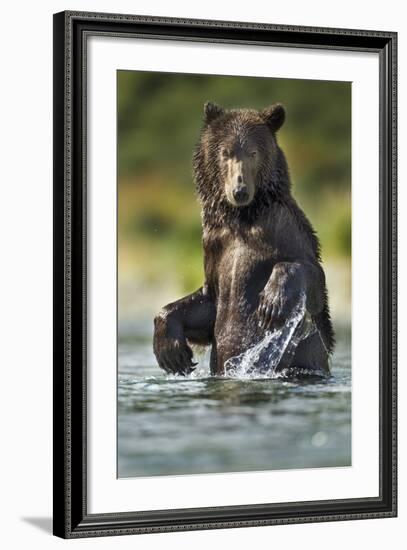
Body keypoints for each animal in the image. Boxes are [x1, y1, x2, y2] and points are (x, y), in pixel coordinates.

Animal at [153, 101, 334, 378]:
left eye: (253, 152)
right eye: (225, 152)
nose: (240, 190)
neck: (242, 218)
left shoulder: (283, 227)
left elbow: (312, 278)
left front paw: (271, 303)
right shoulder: (214, 245)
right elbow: (207, 303)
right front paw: (172, 353)